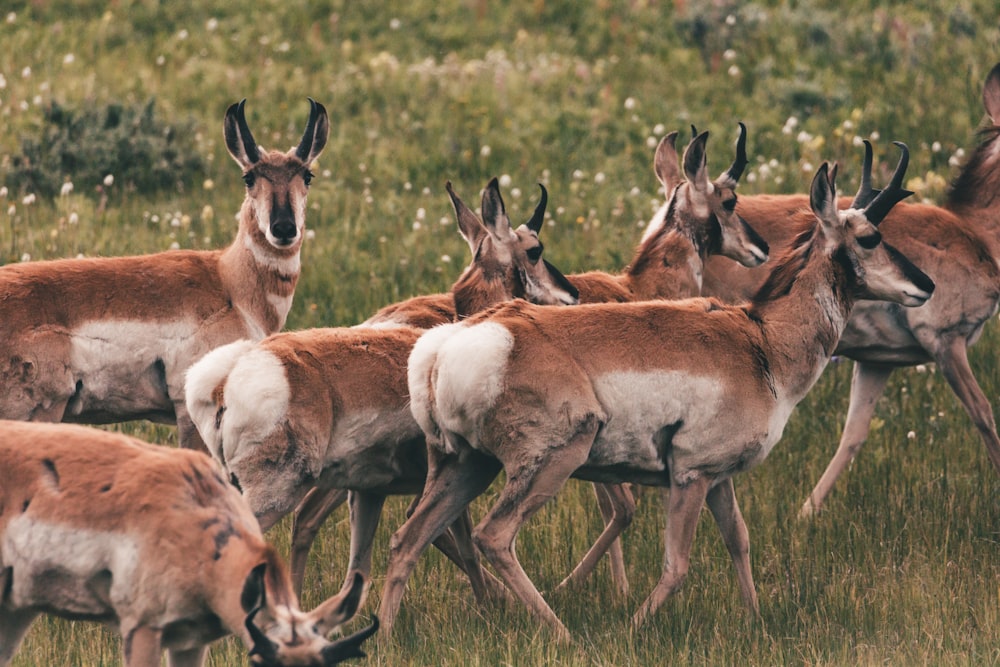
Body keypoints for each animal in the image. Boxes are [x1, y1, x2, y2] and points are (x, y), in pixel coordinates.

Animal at [382, 144, 936, 640]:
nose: (926, 284)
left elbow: (739, 541)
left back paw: (385, 636)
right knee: (493, 537)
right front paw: (632, 629)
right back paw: (564, 635)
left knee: (407, 539)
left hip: (464, 466)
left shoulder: (719, 477)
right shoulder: (690, 475)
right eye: (871, 237)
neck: (760, 341)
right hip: (551, 460)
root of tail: (447, 342)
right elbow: (677, 566)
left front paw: (756, 621)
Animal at [700, 62, 1000, 516]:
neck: (977, 235)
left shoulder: (877, 362)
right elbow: (984, 414)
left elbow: (853, 435)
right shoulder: (947, 342)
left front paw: (806, 513)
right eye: (872, 238)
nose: (926, 284)